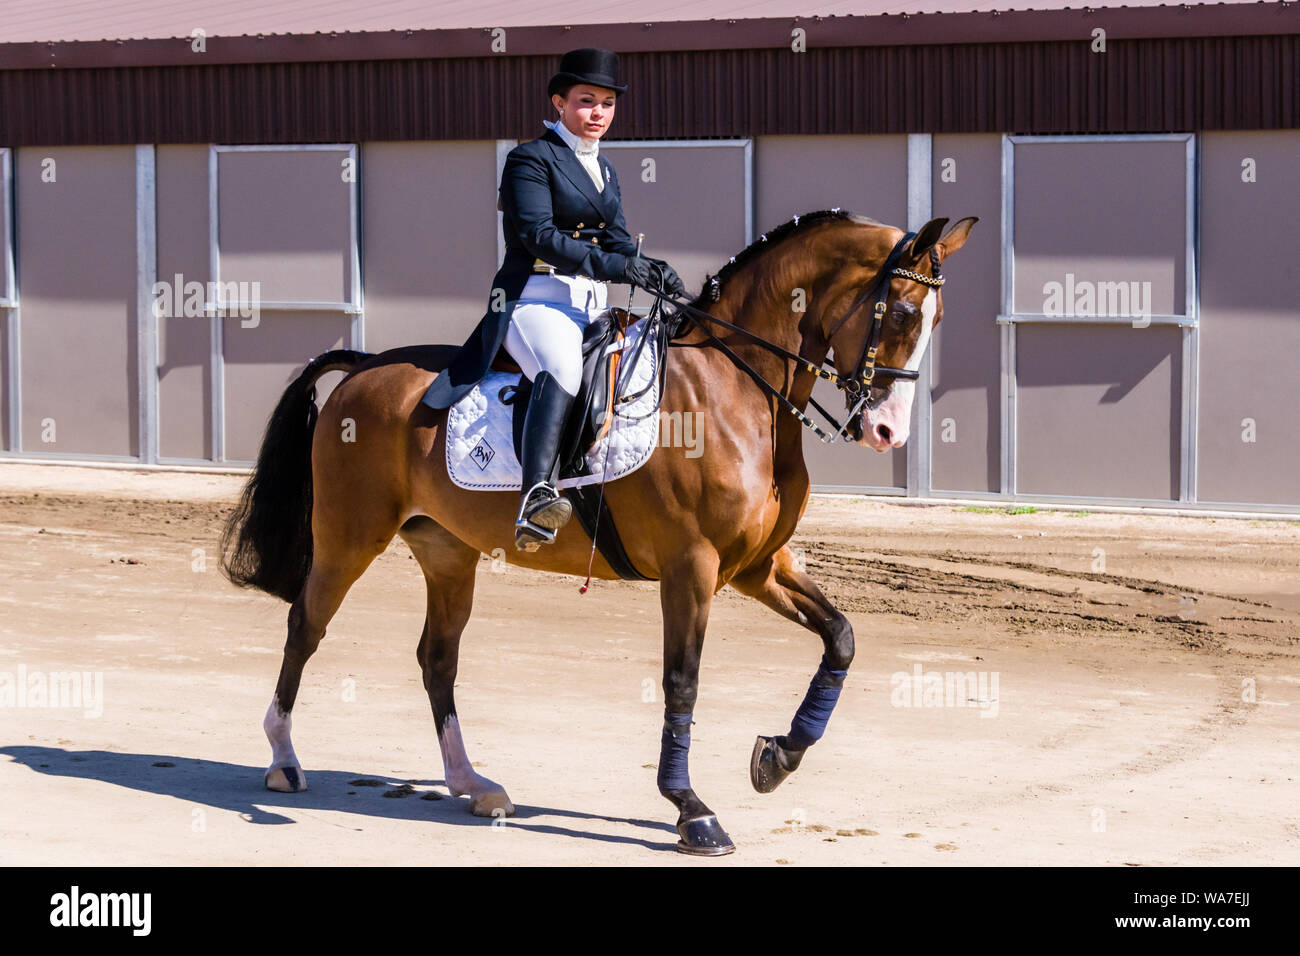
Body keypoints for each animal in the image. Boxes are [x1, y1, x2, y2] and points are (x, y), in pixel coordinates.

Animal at [220, 208, 977, 856]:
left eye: (937, 317)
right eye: (901, 311)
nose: (887, 432)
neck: (736, 388)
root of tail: (363, 366)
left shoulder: (758, 565)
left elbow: (841, 638)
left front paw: (777, 757)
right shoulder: (693, 567)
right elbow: (682, 683)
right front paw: (692, 811)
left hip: (447, 552)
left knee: (437, 658)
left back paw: (473, 785)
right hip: (350, 538)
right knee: (305, 628)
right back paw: (283, 761)